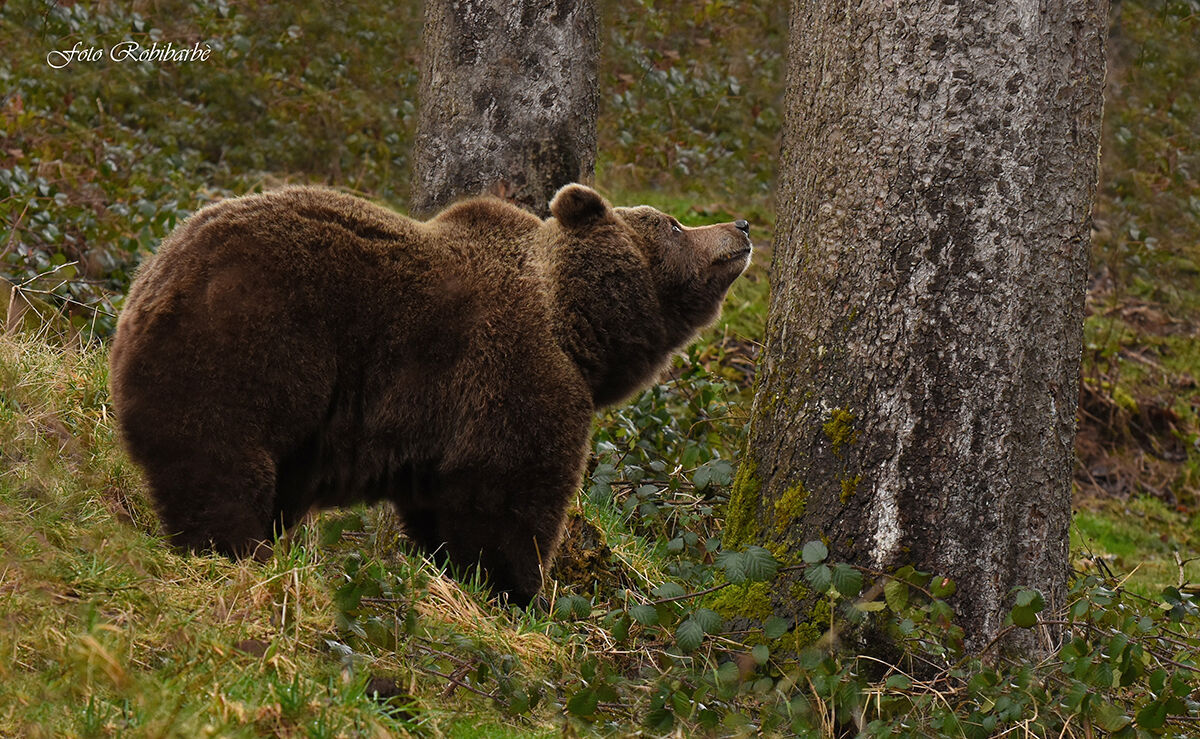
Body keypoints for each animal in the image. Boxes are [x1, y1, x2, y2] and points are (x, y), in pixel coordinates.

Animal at [109, 183, 752, 605]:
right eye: (673, 223)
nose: (741, 228)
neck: (575, 326)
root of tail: (153, 276)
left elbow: (442, 506)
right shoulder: (514, 376)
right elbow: (508, 499)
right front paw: (519, 593)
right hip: (252, 345)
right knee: (221, 463)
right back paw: (233, 553)